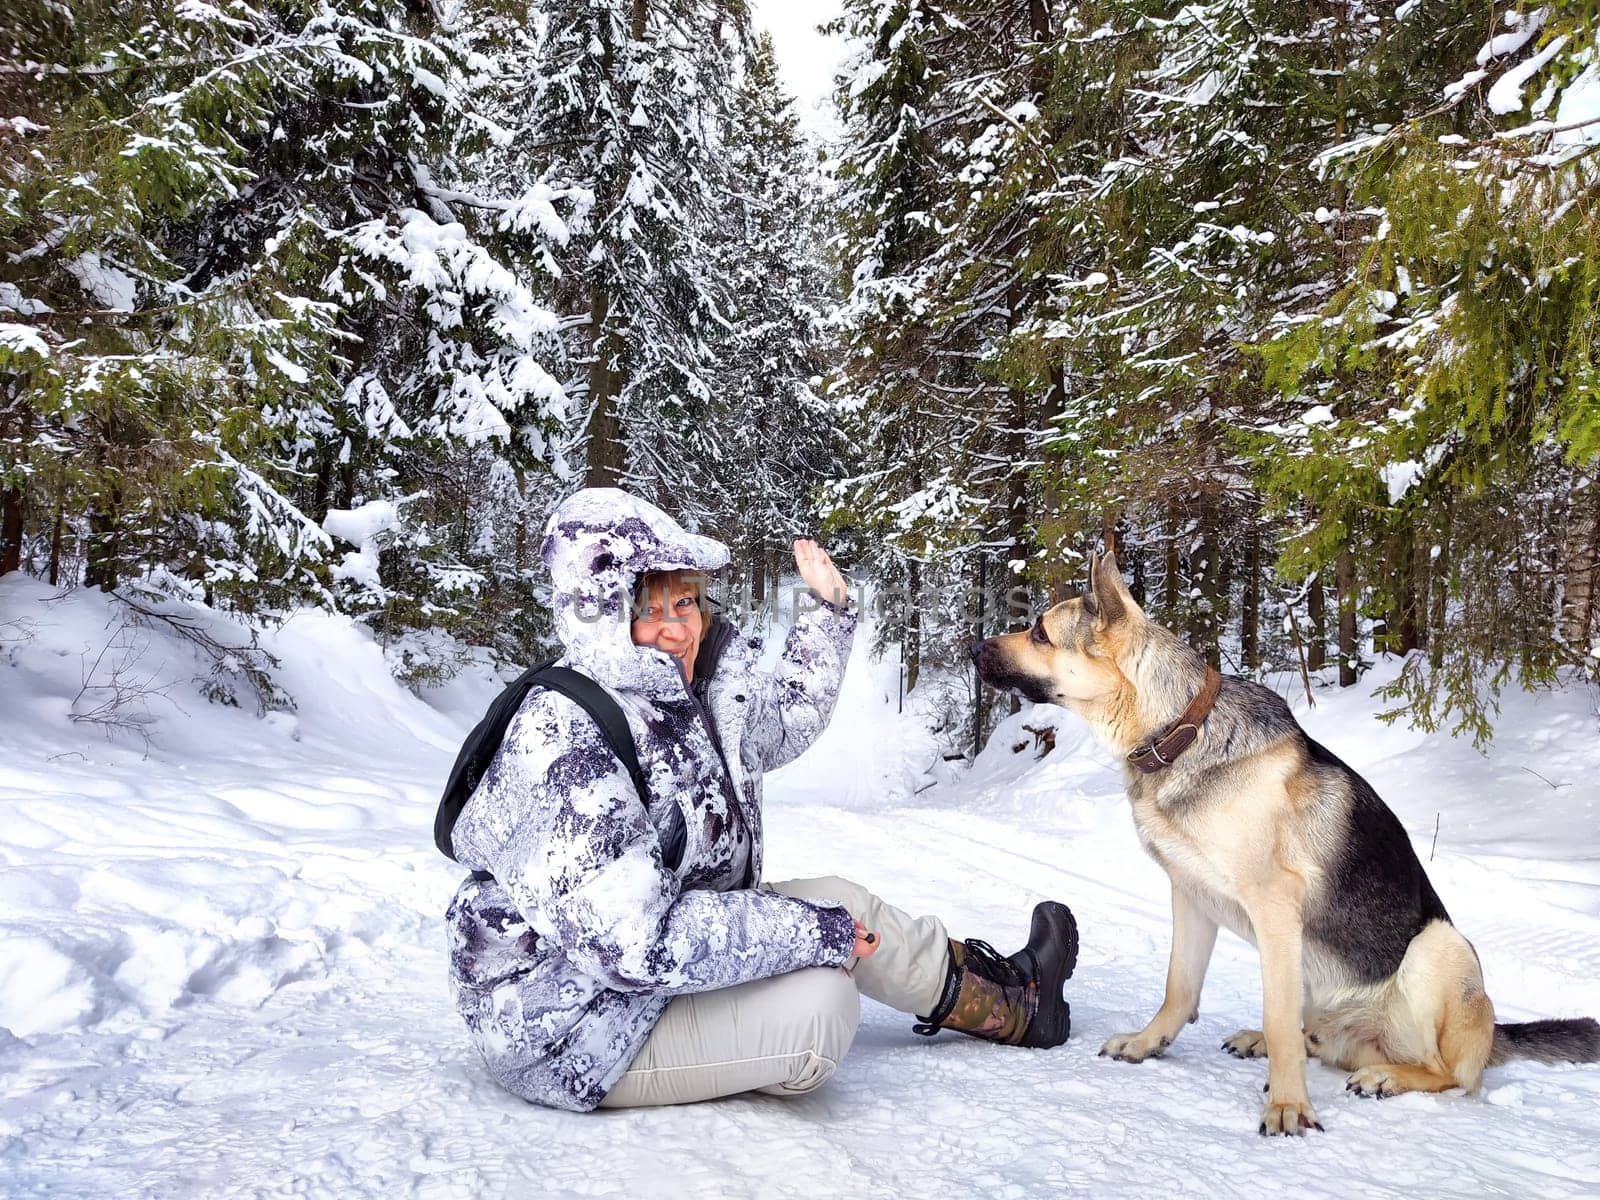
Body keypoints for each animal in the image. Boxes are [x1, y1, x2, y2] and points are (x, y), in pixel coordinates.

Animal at [972, 553, 1600, 1139]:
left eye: (1039, 633)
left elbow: (1276, 1017)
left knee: (1446, 1072)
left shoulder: (1273, 907)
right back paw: (1276, 1045)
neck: (1179, 730)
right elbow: (1180, 987)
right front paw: (1151, 1043)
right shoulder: (1190, 895)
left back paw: (1386, 1076)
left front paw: (1289, 1105)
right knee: (1315, 1038)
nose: (974, 648)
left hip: (1438, 948)